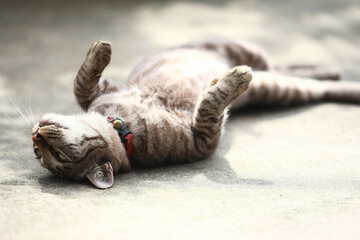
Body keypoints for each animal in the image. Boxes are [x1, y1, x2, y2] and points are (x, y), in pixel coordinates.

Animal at [31, 39, 360, 188]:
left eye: (46, 153)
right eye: (55, 157)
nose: (35, 134)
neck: (125, 128)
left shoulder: (102, 90)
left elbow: (81, 83)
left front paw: (99, 50)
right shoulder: (205, 137)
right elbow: (209, 105)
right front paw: (231, 80)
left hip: (246, 51)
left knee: (282, 65)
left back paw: (329, 69)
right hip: (280, 88)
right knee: (314, 87)